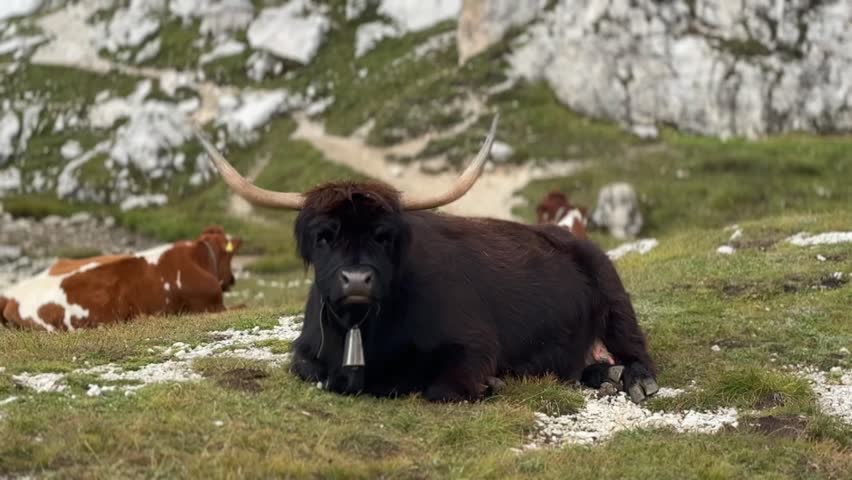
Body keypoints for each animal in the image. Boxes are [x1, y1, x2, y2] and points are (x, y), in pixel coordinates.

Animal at [198, 116, 660, 402]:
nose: (356, 280)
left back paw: (634, 381)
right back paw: (603, 376)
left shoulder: (474, 346)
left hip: (616, 301)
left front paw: (489, 385)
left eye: (383, 235)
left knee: (636, 351)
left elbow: (442, 387)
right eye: (324, 236)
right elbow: (305, 368)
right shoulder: (307, 350)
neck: (363, 331)